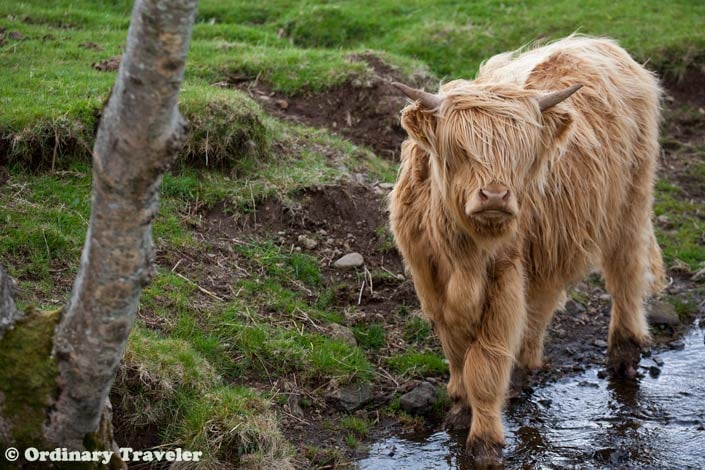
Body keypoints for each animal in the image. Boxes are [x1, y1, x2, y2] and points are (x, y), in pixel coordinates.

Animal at [388, 36, 664, 466]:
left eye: (521, 152)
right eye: (459, 149)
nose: (495, 195)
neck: (464, 255)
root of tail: (599, 43)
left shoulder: (503, 276)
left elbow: (485, 364)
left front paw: (484, 442)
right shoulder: (429, 279)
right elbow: (456, 350)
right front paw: (460, 409)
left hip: (630, 204)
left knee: (626, 274)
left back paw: (624, 355)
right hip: (545, 247)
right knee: (542, 301)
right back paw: (522, 371)